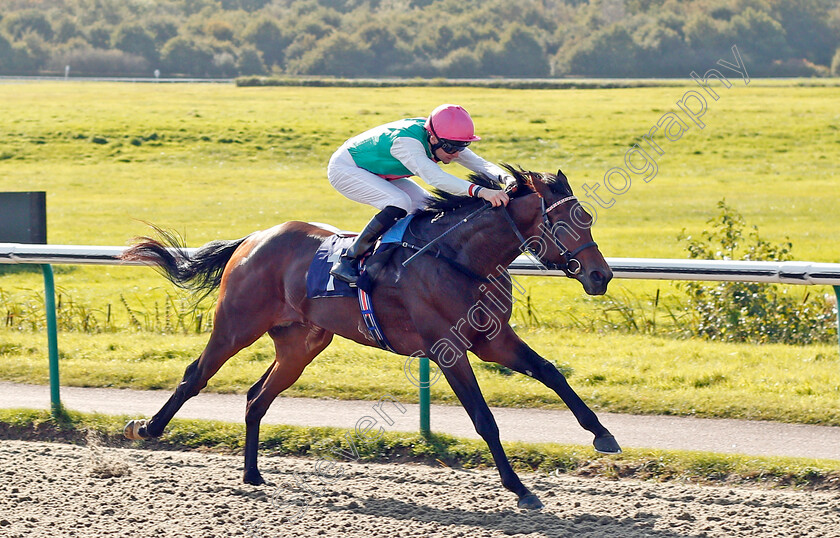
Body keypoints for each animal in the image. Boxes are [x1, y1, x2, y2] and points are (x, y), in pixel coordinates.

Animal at [124, 166, 624, 506]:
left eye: (588, 217)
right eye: (565, 223)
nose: (601, 276)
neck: (460, 258)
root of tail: (253, 238)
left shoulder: (493, 339)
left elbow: (550, 372)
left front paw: (602, 434)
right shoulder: (448, 350)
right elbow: (484, 419)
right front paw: (520, 488)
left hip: (301, 343)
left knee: (256, 398)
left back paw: (253, 475)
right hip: (236, 326)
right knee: (196, 375)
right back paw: (147, 428)